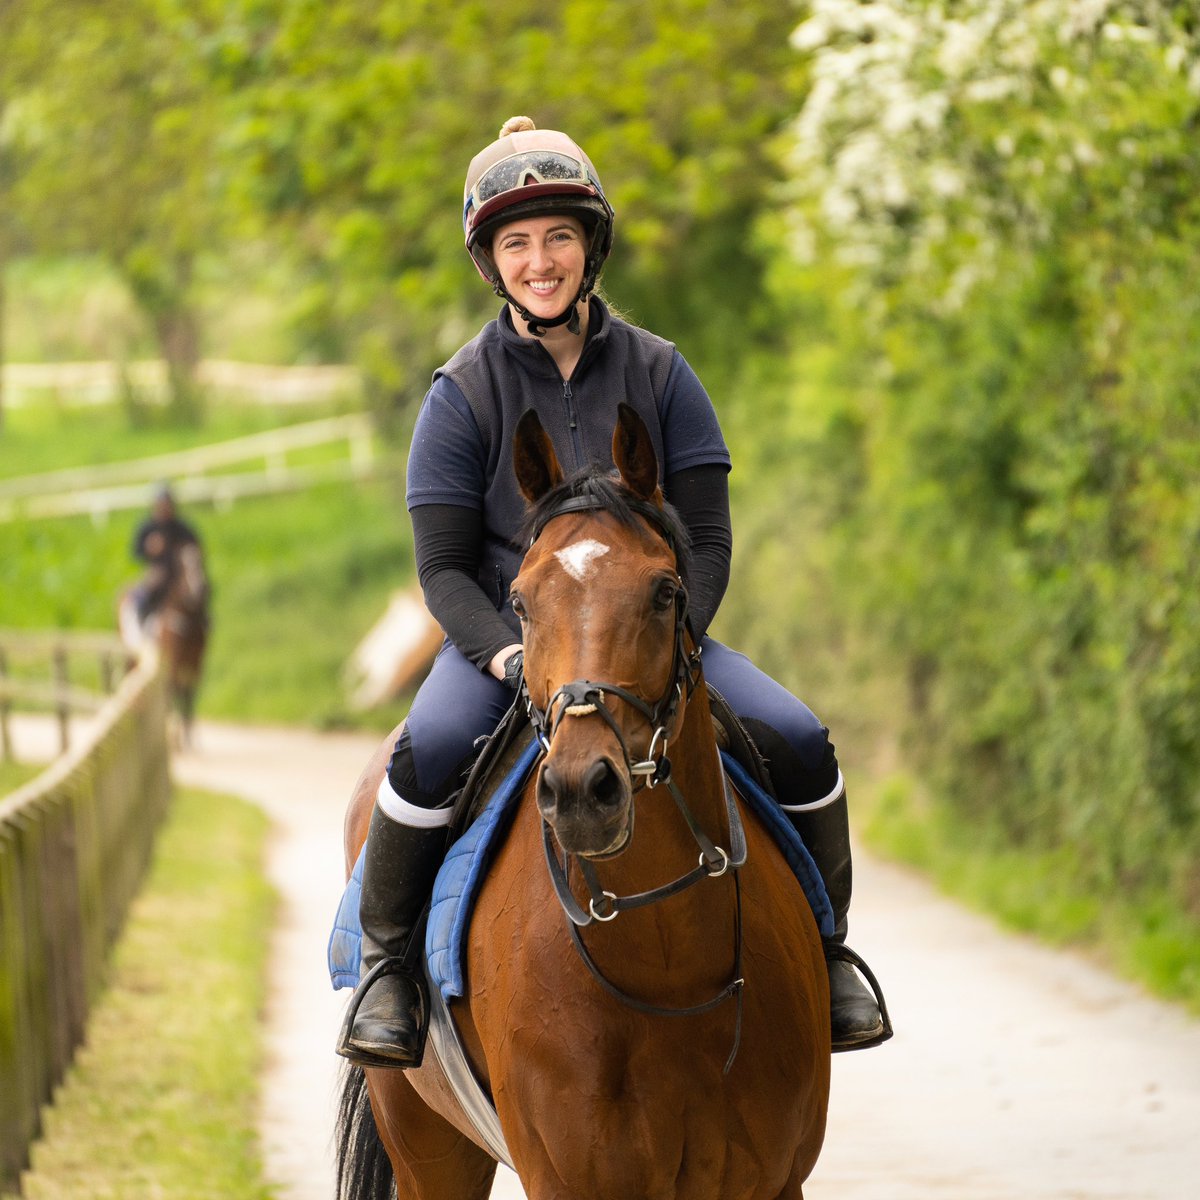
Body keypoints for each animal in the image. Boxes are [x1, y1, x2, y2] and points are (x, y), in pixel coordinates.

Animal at [333, 405, 830, 1200]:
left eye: (666, 592)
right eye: (520, 602)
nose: (580, 791)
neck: (665, 964)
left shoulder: (774, 1182)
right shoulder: (572, 1180)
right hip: (427, 1147)